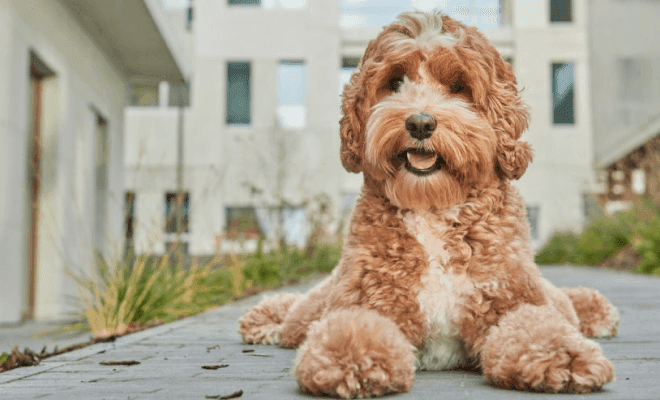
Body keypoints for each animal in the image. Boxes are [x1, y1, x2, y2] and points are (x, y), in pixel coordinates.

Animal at [237, 10, 620, 398]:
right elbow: (352, 328)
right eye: (394, 82)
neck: (432, 205)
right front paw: (350, 360)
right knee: (296, 315)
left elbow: (538, 326)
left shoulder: (512, 296)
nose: (420, 123)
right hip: (318, 303)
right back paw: (266, 318)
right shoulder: (368, 299)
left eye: (458, 86)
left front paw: (564, 357)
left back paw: (594, 310)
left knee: (564, 301)